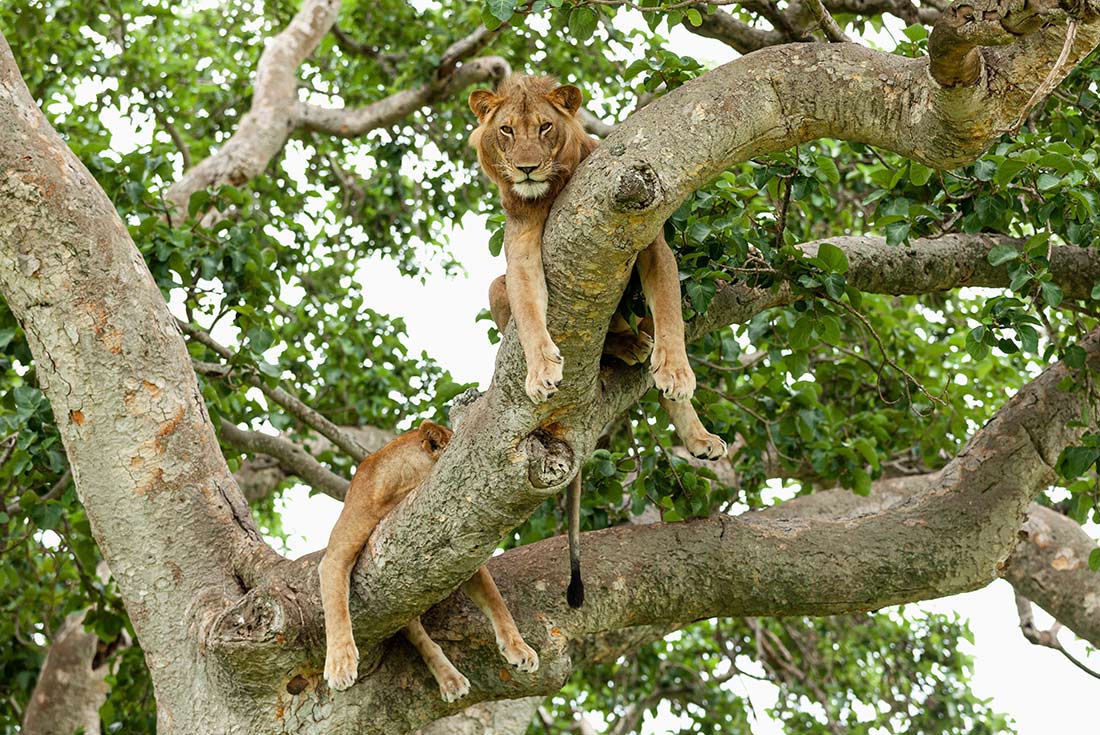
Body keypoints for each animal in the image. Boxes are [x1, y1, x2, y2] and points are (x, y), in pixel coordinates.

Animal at [319, 421, 538, 698]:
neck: (402, 489)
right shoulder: (335, 557)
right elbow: (337, 611)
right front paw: (340, 665)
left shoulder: (464, 556)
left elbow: (497, 603)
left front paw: (519, 648)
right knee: (422, 639)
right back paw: (450, 679)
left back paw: (451, 679)